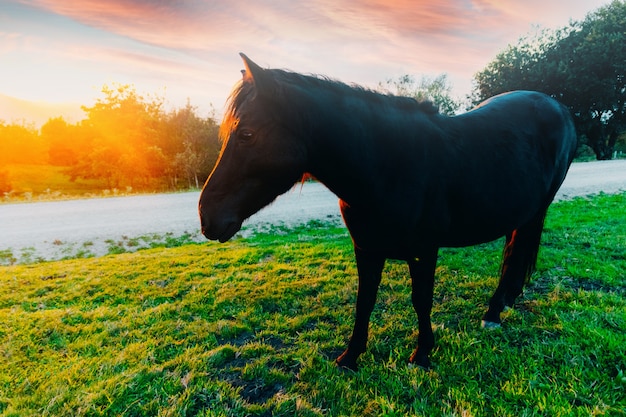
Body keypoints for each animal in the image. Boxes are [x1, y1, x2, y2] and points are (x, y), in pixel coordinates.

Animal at [199, 53, 576, 368]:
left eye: (247, 134)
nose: (206, 216)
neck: (388, 165)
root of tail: (559, 107)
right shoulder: (366, 249)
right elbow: (364, 300)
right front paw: (351, 356)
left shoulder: (424, 252)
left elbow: (421, 299)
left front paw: (422, 354)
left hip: (536, 211)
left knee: (516, 253)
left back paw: (494, 311)